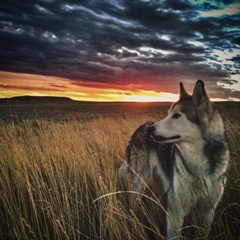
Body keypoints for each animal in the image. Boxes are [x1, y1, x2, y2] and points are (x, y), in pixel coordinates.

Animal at [118, 80, 229, 238]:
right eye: (168, 114)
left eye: (177, 116)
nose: (150, 129)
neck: (199, 165)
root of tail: (138, 129)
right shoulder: (176, 211)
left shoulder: (207, 211)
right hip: (140, 184)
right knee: (133, 206)